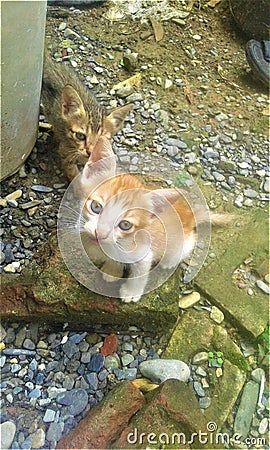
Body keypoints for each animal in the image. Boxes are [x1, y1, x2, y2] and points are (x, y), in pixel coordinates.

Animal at [78, 137, 232, 302]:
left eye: (125, 225)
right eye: (96, 207)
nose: (99, 233)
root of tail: (189, 215)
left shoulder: (144, 253)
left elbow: (140, 273)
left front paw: (131, 292)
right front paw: (112, 270)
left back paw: (169, 261)